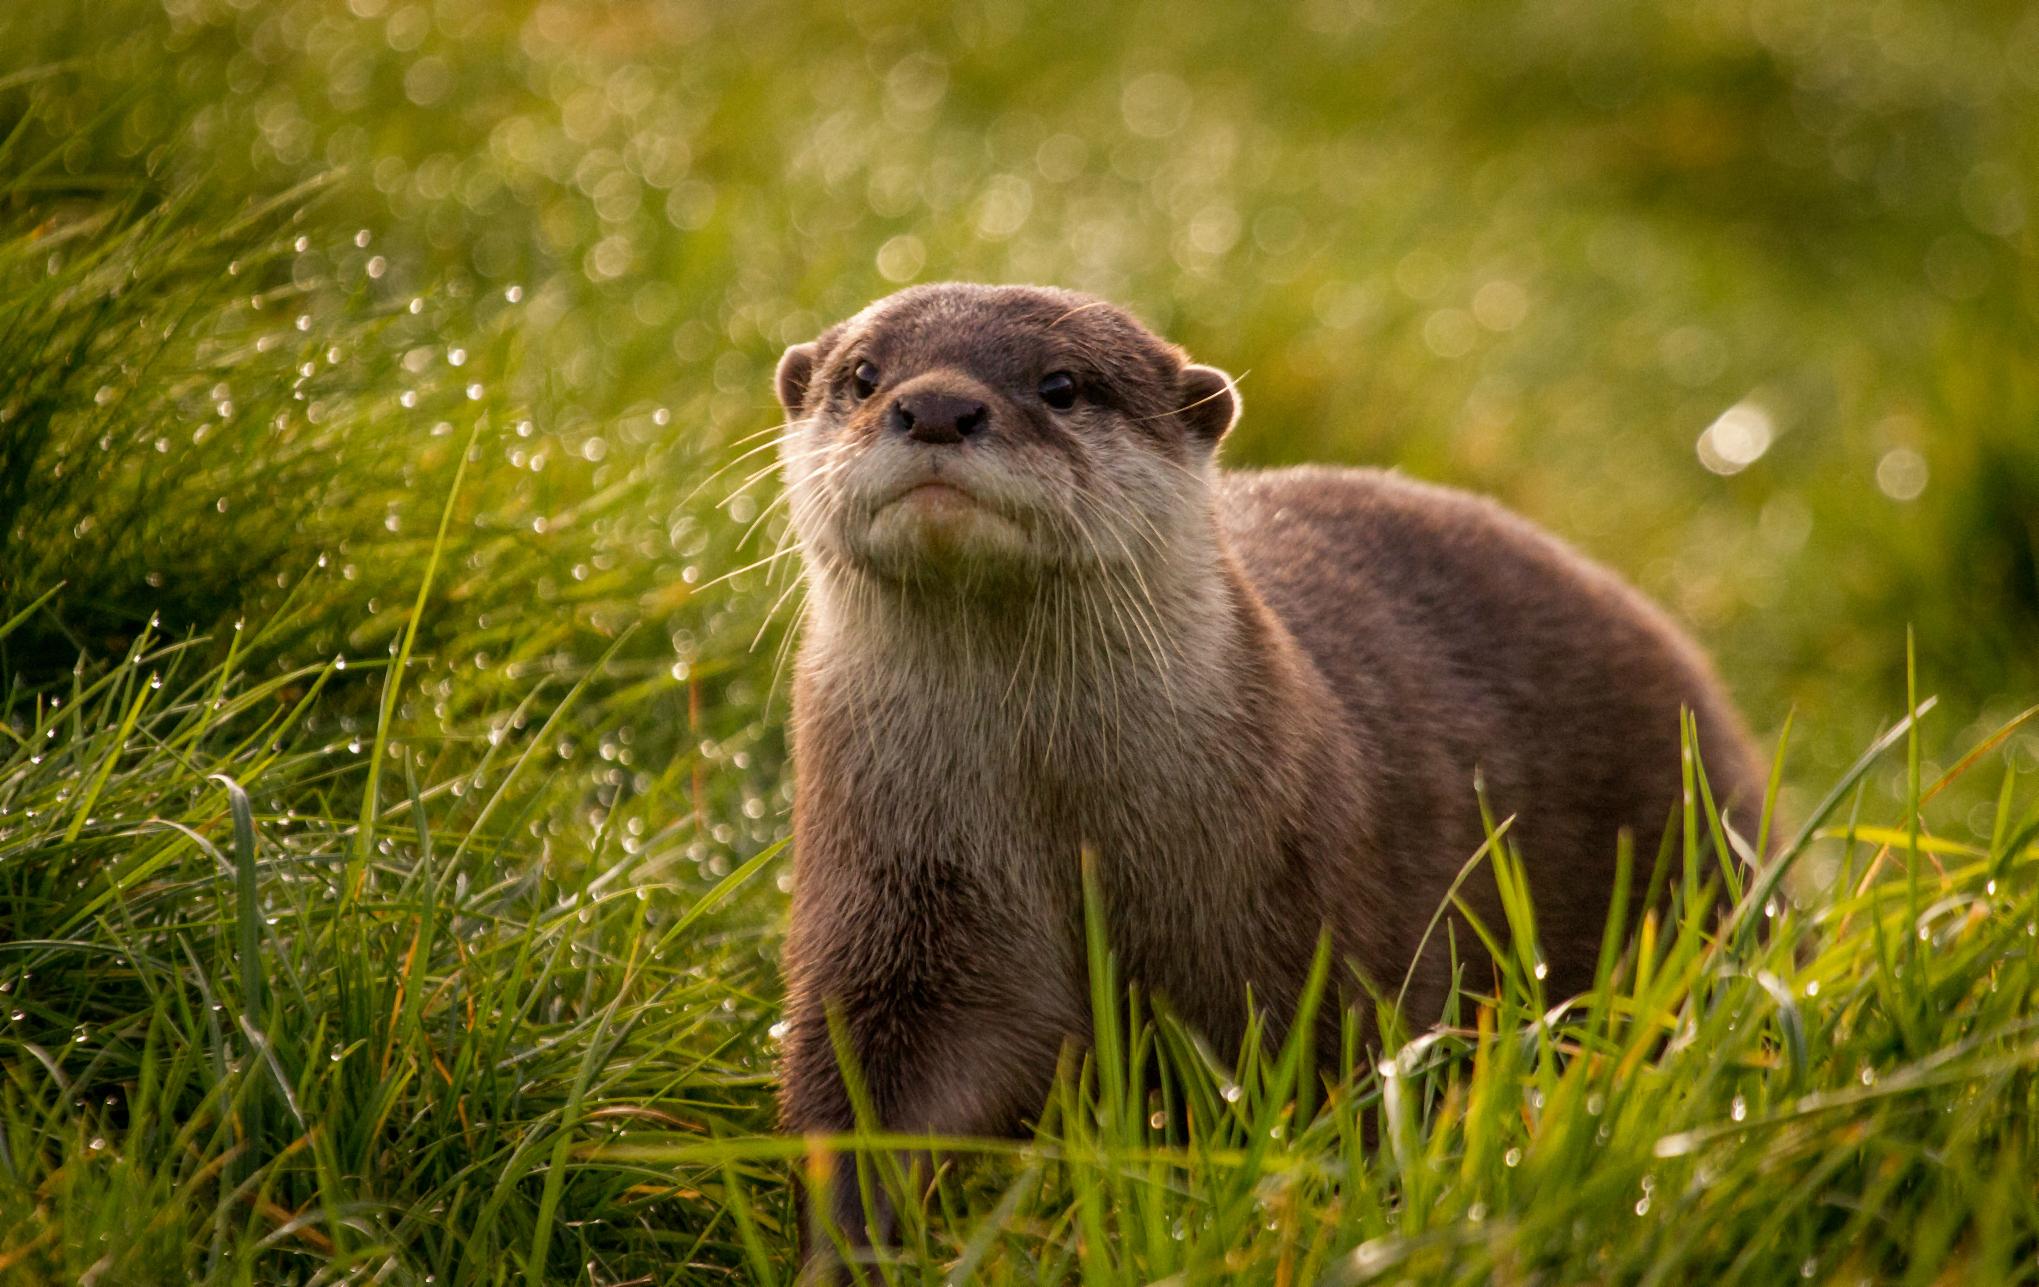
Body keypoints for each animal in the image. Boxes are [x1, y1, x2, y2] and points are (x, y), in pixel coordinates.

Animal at [768, 282, 1764, 1257]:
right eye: (863, 375)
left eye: (1060, 384)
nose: (936, 405)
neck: (1062, 826)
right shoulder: (895, 909)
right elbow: (869, 1092)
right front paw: (846, 1250)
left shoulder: (1305, 925)